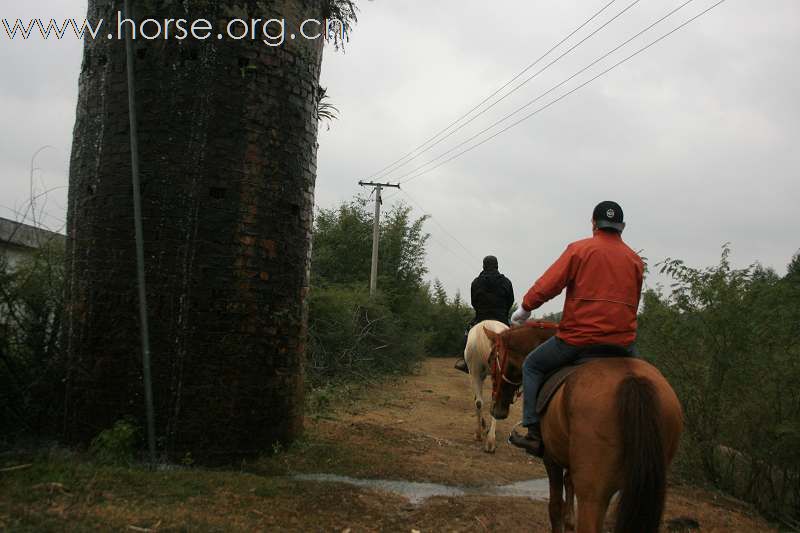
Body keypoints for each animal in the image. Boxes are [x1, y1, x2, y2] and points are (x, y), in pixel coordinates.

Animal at [484, 322, 684, 532]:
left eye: (490, 360)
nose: (496, 410)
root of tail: (633, 380)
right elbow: (568, 497)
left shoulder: (551, 459)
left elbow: (555, 507)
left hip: (593, 494)